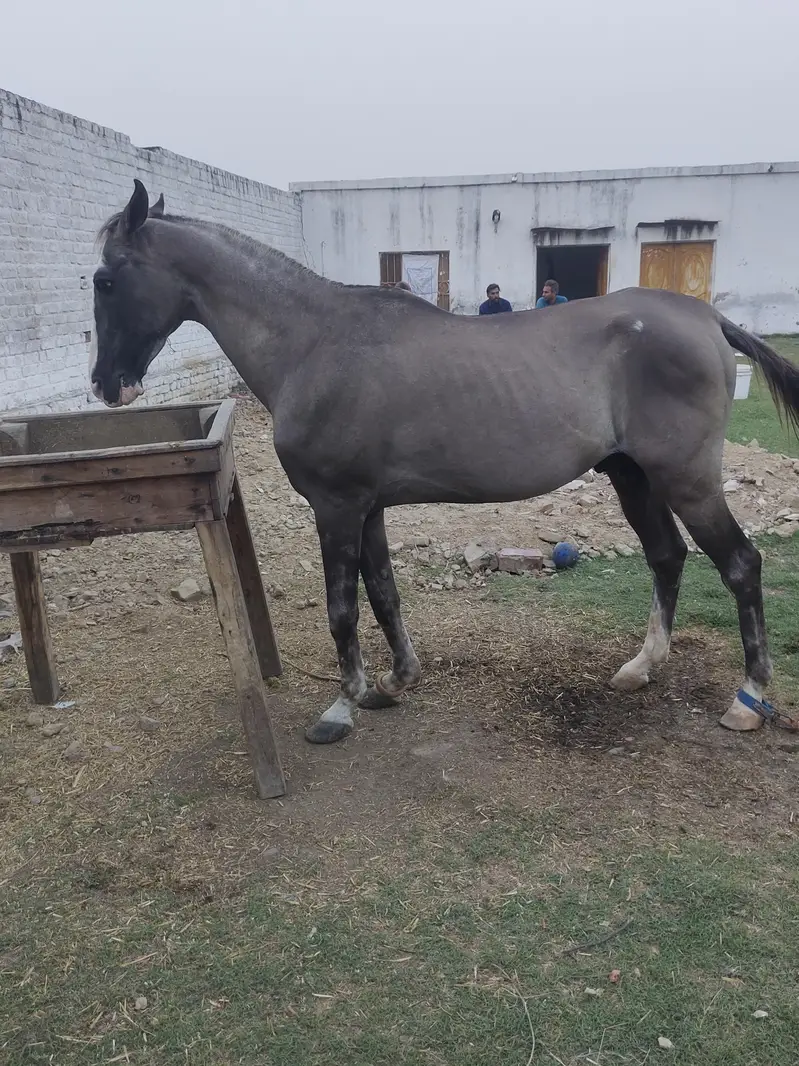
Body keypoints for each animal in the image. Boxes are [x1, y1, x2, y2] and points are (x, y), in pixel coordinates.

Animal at [90, 180, 799, 745]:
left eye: (105, 279)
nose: (105, 384)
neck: (314, 343)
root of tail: (704, 317)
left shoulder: (337, 505)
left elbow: (343, 607)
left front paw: (343, 705)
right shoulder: (367, 506)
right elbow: (383, 591)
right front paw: (396, 680)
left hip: (688, 480)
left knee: (740, 564)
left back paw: (749, 698)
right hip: (634, 476)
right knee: (667, 556)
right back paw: (642, 667)